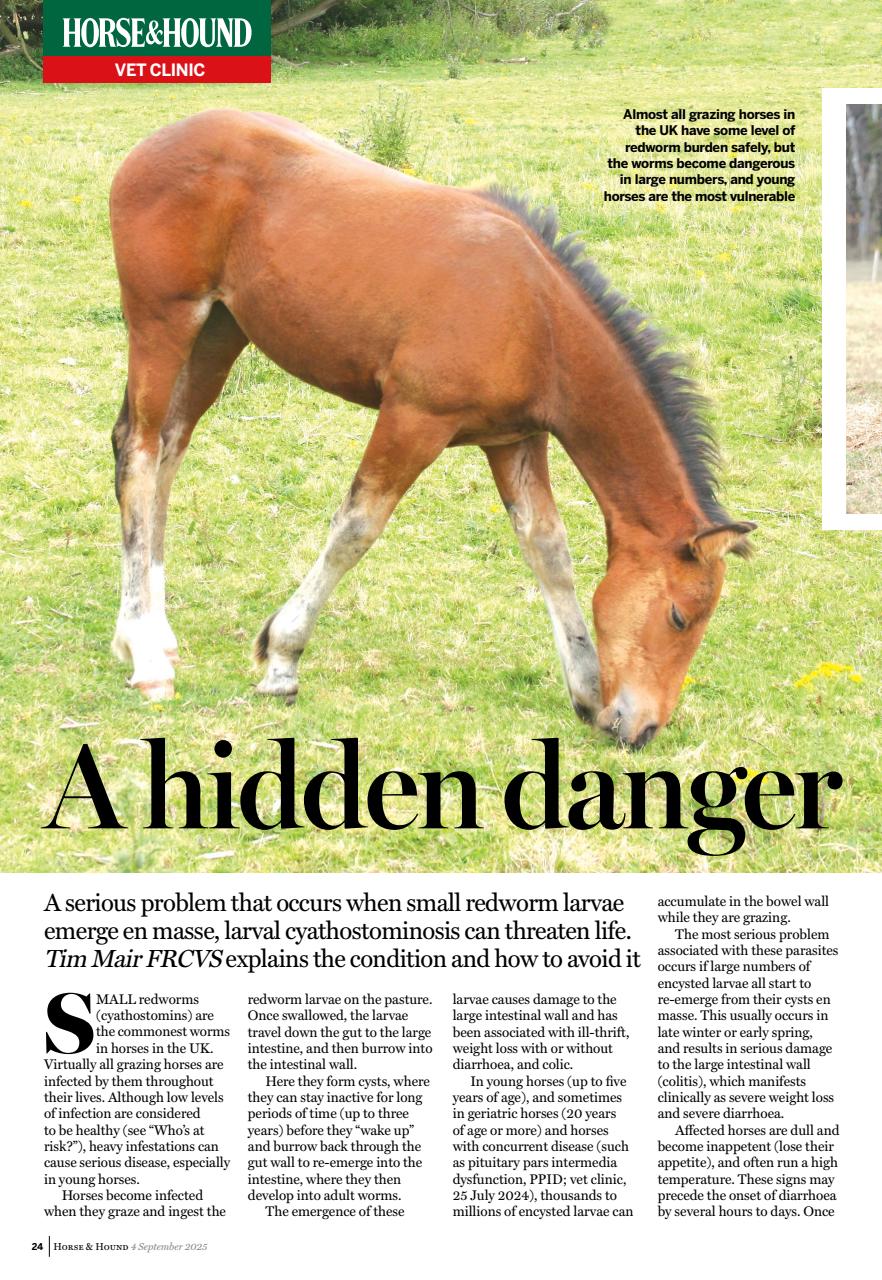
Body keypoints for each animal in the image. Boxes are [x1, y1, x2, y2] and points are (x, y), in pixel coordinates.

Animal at [109, 109, 755, 749]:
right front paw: (283, 658)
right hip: (163, 321)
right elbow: (356, 529)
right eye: (680, 616)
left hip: (219, 332)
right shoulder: (414, 419)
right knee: (138, 450)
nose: (641, 729)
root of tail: (152, 145)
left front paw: (587, 688)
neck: (534, 315)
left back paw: (152, 630)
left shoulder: (513, 440)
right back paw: (146, 655)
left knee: (167, 450)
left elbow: (548, 550)